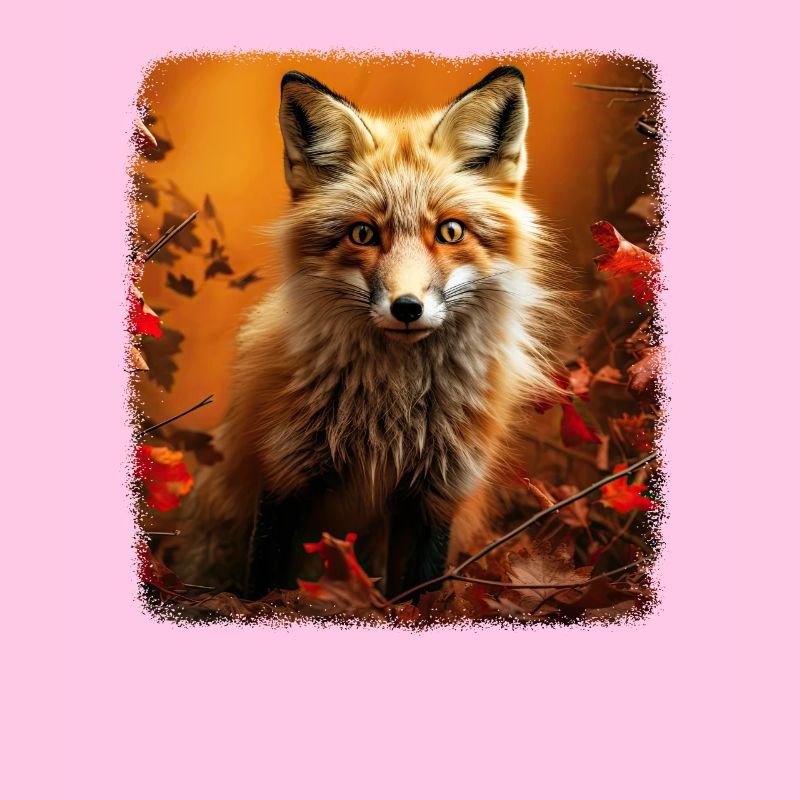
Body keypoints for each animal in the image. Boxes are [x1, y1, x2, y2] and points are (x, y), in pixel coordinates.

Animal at [175, 65, 573, 600]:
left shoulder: (436, 493)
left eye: (450, 231)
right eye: (363, 233)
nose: (407, 308)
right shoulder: (284, 474)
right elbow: (266, 586)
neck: (391, 411)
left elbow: (419, 593)